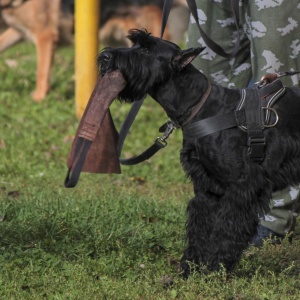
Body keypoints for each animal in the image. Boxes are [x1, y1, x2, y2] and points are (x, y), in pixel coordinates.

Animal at [98, 29, 300, 276]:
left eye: (146, 49)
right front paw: (191, 268)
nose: (105, 56)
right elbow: (201, 228)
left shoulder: (242, 187)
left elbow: (227, 229)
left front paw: (216, 269)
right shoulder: (206, 188)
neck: (199, 107)